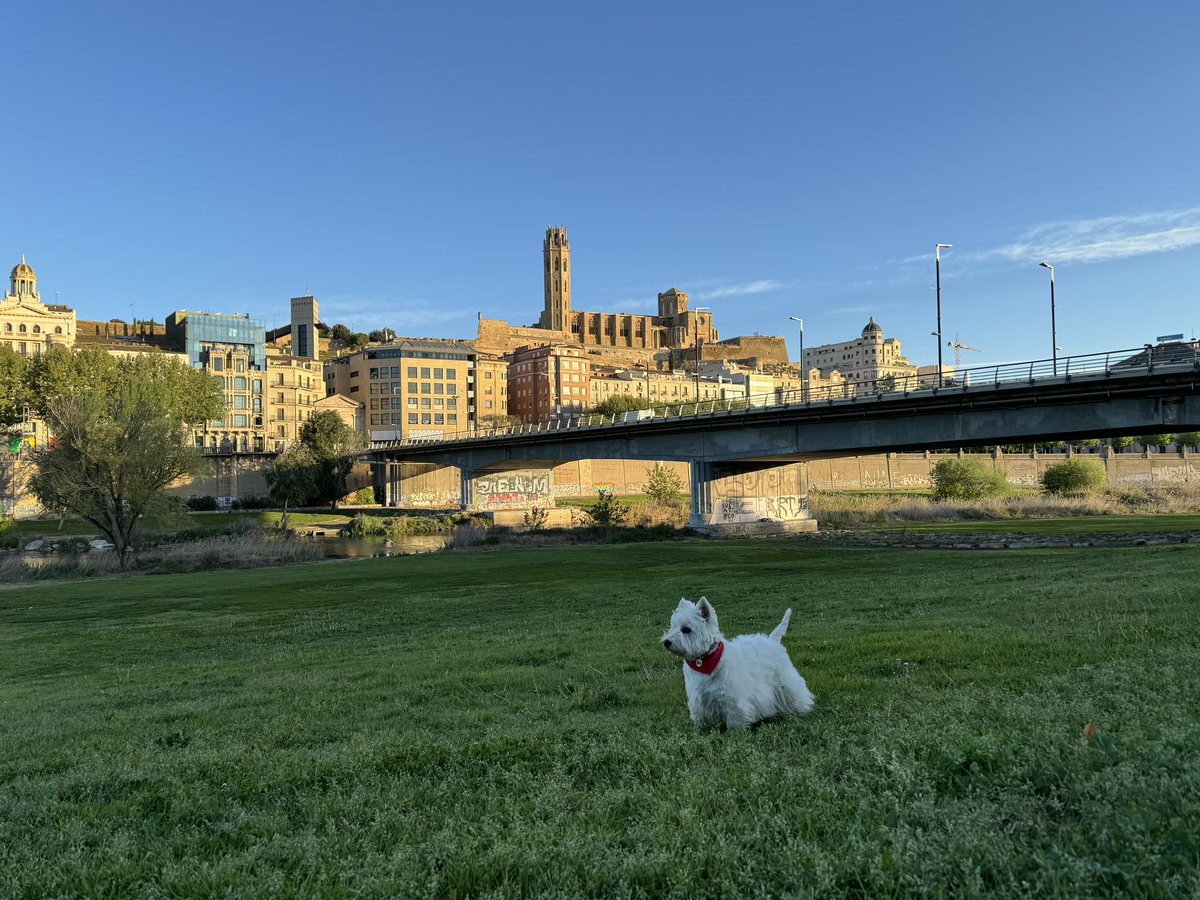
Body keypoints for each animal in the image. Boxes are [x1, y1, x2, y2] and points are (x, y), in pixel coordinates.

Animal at [657, 600, 816, 734]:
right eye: (673, 627)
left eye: (686, 629)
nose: (666, 642)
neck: (704, 661)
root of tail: (773, 640)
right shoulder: (698, 697)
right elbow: (700, 714)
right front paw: (701, 729)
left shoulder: (733, 697)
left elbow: (735, 716)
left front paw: (735, 733)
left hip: (785, 680)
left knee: (797, 692)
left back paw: (804, 709)